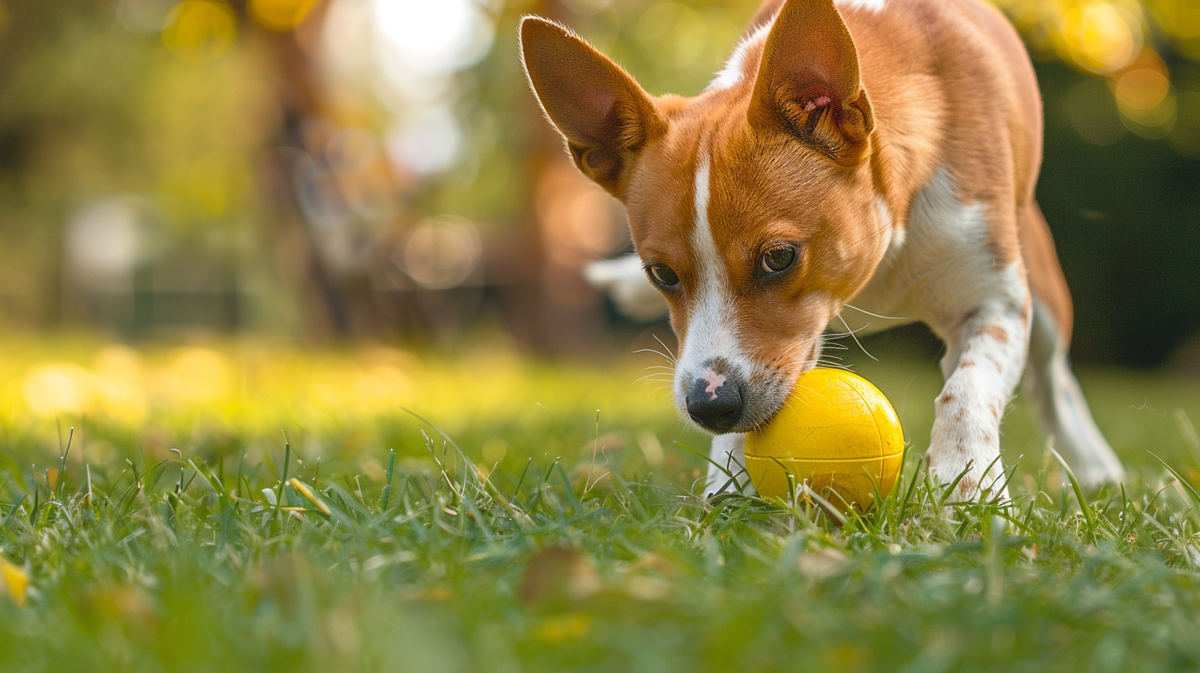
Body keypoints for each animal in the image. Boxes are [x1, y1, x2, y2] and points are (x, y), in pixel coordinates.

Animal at [520, 0, 1128, 496]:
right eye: (661, 274)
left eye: (779, 256)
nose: (710, 405)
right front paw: (728, 489)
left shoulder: (993, 301)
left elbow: (967, 389)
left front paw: (966, 482)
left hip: (1041, 291)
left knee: (1053, 380)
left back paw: (1095, 466)